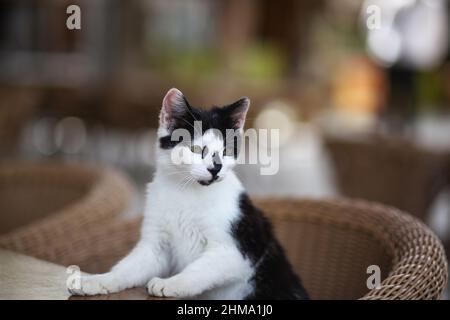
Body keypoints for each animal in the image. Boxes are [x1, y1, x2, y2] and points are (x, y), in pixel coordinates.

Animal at [74, 88, 310, 300]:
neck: (187, 192)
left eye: (226, 151)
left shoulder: (236, 251)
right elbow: (128, 267)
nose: (216, 168)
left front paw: (171, 283)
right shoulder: (156, 246)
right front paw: (98, 280)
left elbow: (200, 270)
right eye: (196, 149)